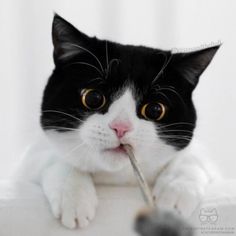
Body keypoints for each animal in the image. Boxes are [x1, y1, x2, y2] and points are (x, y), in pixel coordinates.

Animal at [14, 13, 221, 230]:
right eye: (93, 98)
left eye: (155, 110)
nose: (121, 127)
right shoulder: (25, 164)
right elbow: (53, 156)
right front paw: (73, 195)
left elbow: (193, 156)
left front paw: (175, 193)